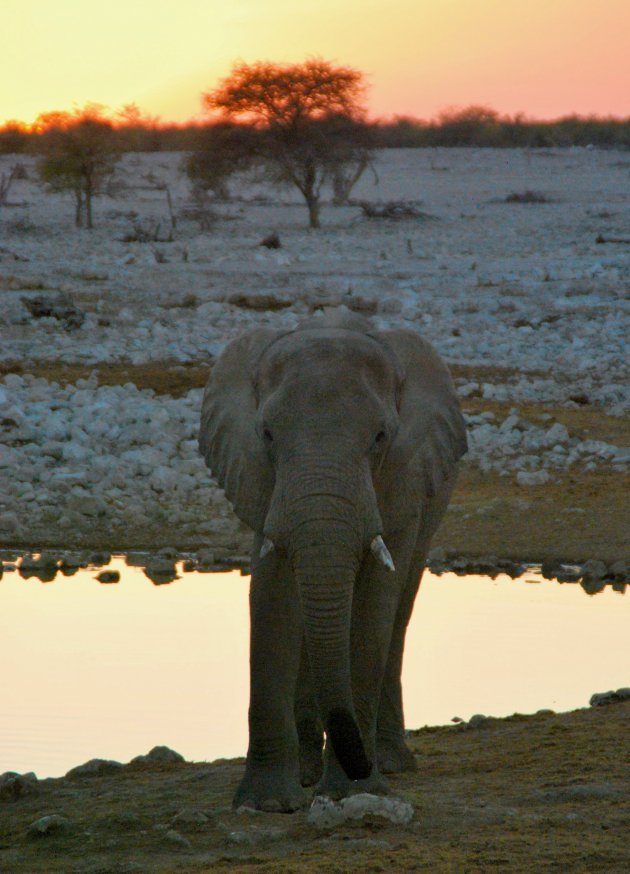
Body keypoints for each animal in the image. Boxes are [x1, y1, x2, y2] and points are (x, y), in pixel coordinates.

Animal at [199, 308, 470, 812]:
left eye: (380, 437)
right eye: (267, 435)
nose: (359, 763)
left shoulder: (402, 479)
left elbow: (373, 607)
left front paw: (354, 792)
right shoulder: (262, 480)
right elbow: (272, 597)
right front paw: (267, 805)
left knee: (399, 612)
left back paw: (391, 763)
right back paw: (309, 773)